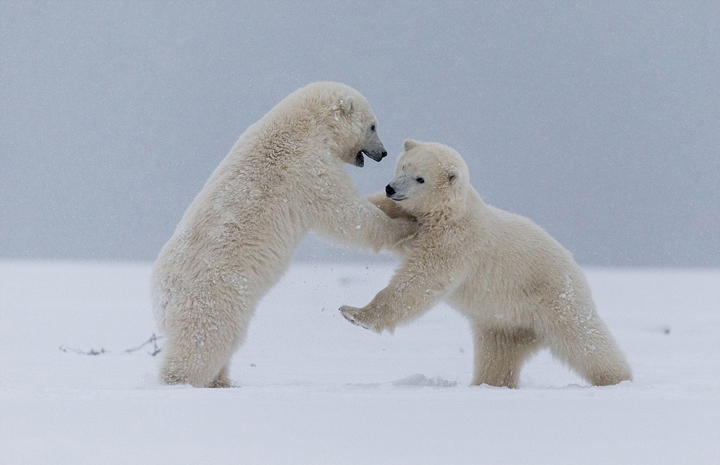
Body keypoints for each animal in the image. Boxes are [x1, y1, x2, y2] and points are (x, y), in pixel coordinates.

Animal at [150, 81, 416, 386]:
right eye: (373, 126)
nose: (383, 153)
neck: (306, 125)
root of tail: (163, 295)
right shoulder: (308, 167)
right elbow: (344, 213)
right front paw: (406, 226)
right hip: (216, 294)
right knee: (206, 340)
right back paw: (182, 380)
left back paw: (223, 381)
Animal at [342, 141, 632, 388]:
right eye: (404, 166)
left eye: (420, 178)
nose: (392, 188)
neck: (450, 214)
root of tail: (574, 265)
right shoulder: (411, 218)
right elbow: (378, 212)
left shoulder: (455, 243)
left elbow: (420, 282)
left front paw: (355, 313)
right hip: (503, 322)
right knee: (497, 355)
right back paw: (489, 384)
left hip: (554, 297)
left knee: (585, 339)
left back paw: (617, 378)